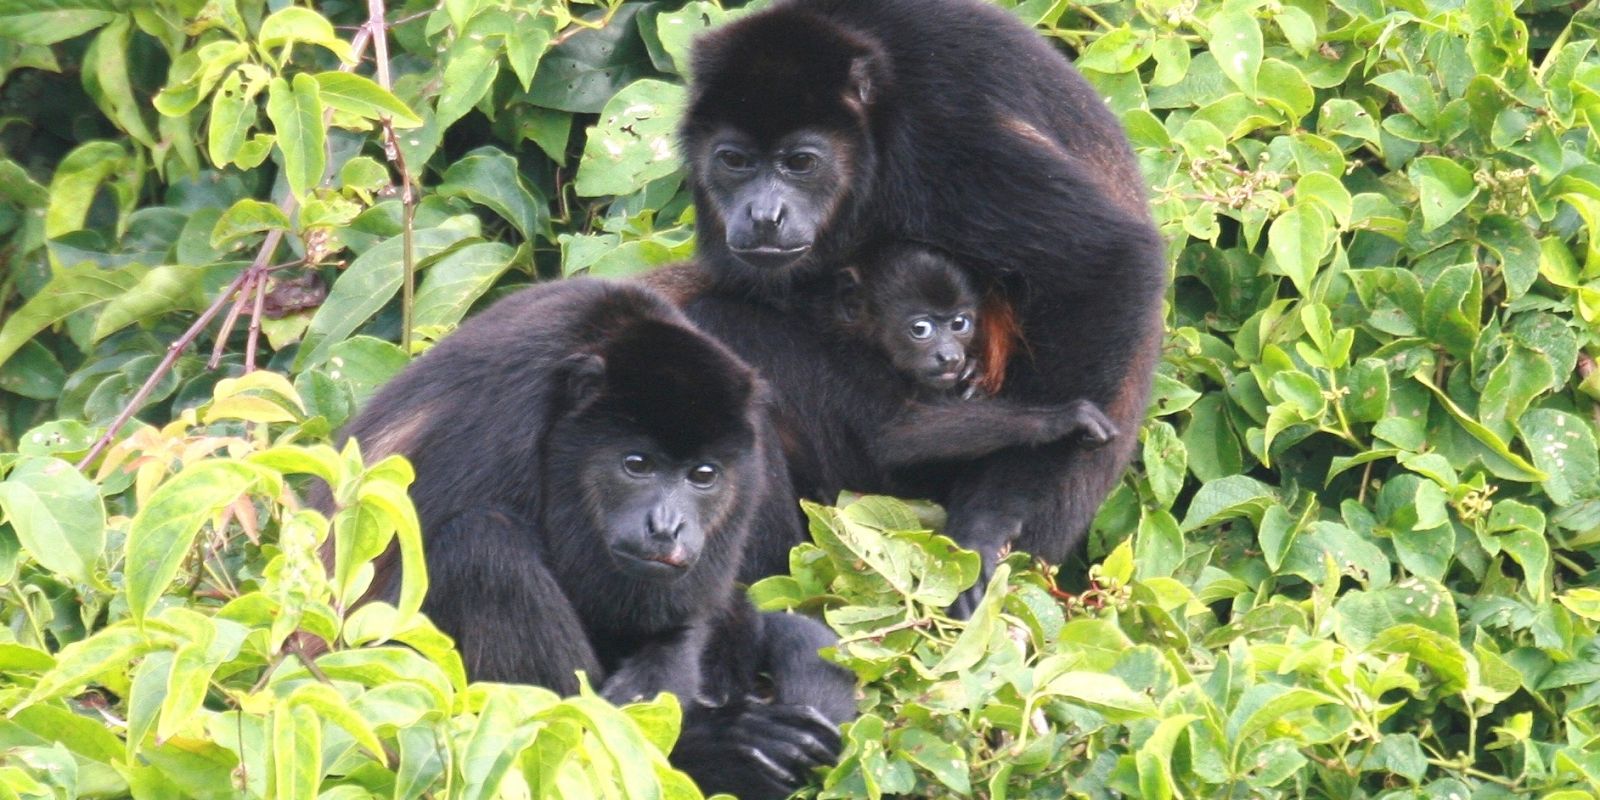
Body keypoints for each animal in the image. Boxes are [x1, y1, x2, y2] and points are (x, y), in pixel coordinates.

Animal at [327, 278, 854, 799]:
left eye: (704, 475)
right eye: (636, 464)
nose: (667, 526)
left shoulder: (757, 443)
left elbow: (703, 610)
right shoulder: (494, 426)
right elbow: (383, 627)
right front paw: (712, 745)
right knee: (483, 546)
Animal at [651, 0, 1168, 614]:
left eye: (800, 162)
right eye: (733, 160)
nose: (763, 214)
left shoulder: (944, 139)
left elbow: (1107, 262)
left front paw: (990, 518)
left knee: (729, 331)